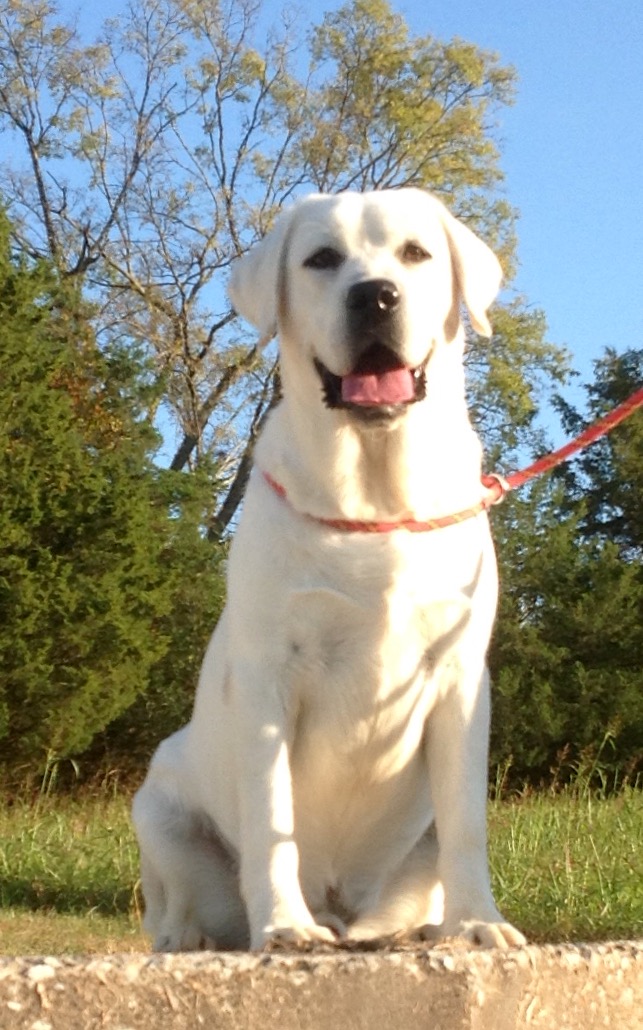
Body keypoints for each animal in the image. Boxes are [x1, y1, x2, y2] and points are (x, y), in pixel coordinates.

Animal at [131, 191, 527, 947]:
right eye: (321, 259)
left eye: (414, 253)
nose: (374, 296)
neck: (376, 501)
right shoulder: (269, 674)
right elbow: (270, 817)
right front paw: (284, 927)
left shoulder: (461, 677)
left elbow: (467, 821)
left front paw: (477, 922)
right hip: (158, 802)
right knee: (177, 902)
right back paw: (194, 937)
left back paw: (410, 930)